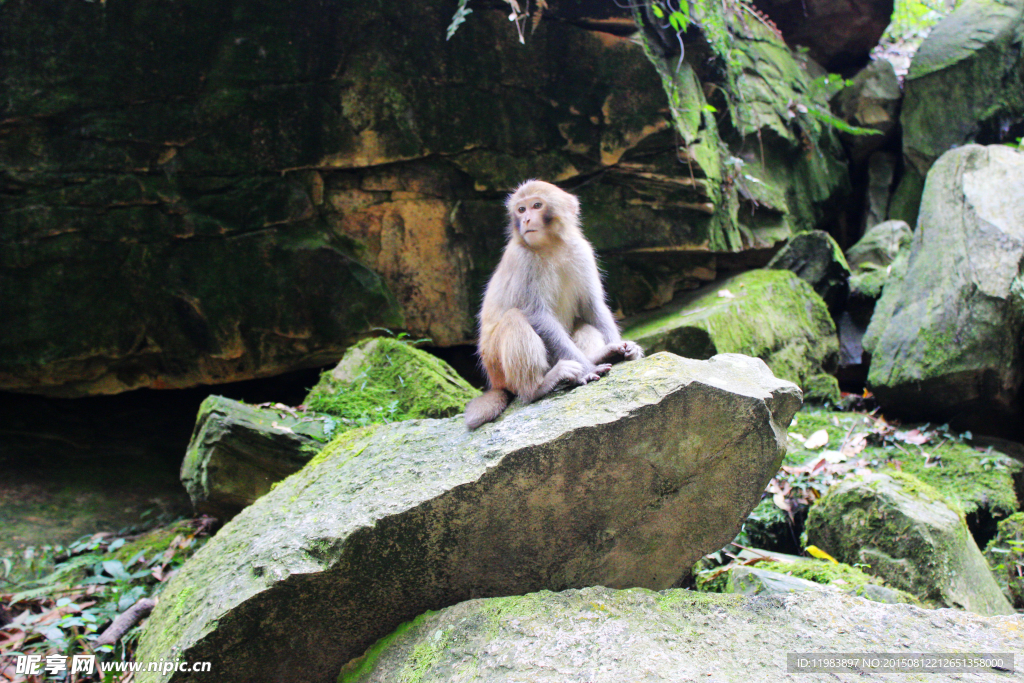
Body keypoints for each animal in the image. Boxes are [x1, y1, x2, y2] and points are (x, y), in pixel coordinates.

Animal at [466, 179, 643, 430]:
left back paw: (600, 355)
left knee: (582, 323)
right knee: (514, 318)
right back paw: (538, 387)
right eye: (521, 209)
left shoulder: (582, 250)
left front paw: (623, 348)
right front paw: (588, 370)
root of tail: (495, 383)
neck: (551, 246)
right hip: (495, 364)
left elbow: (592, 306)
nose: (526, 219)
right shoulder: (524, 261)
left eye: (536, 205)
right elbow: (537, 315)